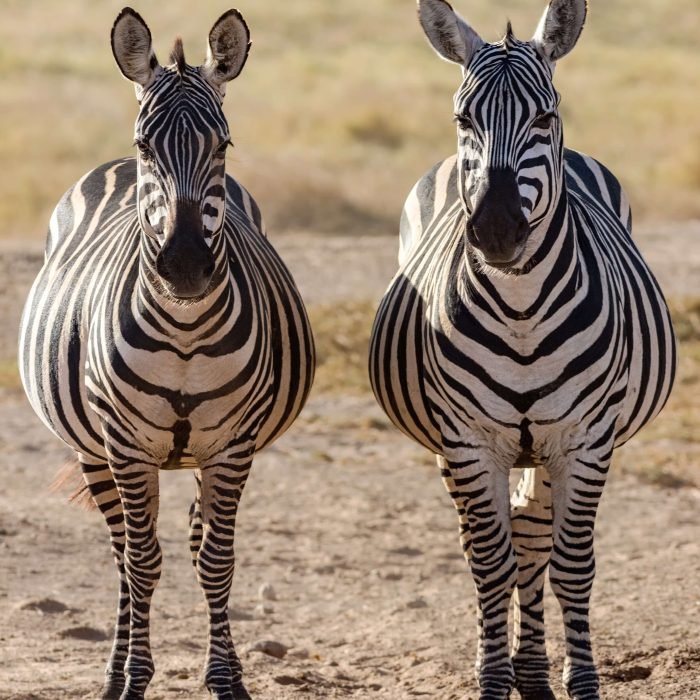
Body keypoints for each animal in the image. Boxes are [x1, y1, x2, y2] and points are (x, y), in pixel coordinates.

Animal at [19, 8, 314, 700]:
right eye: (146, 146)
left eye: (223, 145)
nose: (182, 267)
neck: (184, 332)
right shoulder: (124, 444)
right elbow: (142, 562)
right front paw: (134, 680)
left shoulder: (233, 445)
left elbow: (216, 560)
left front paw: (225, 680)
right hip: (94, 447)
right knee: (122, 552)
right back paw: (113, 671)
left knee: (191, 537)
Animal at [369, 1, 676, 698]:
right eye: (464, 119)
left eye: (544, 117)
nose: (497, 231)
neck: (521, 312)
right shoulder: (466, 440)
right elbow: (489, 563)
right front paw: (491, 680)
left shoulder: (585, 438)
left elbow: (571, 565)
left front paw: (582, 681)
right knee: (498, 545)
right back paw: (520, 670)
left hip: (549, 446)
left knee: (534, 539)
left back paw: (535, 674)